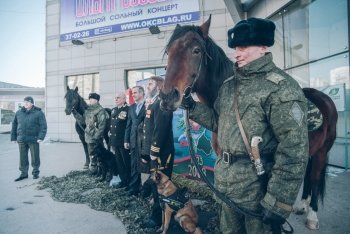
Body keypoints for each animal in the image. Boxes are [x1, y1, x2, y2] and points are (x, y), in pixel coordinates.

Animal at [160, 16, 338, 230]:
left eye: (196, 50)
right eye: (169, 51)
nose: (167, 97)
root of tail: (324, 98)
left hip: (322, 152)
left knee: (315, 177)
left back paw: (312, 215)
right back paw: (301, 205)